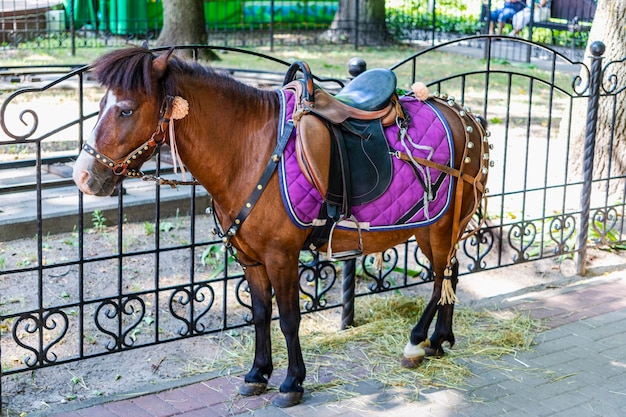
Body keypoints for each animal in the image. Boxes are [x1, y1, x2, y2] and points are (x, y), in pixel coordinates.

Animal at [73, 46, 490, 406]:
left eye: (126, 110)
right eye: (100, 105)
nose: (83, 176)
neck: (248, 152)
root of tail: (467, 117)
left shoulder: (281, 256)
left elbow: (289, 319)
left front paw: (292, 382)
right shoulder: (250, 259)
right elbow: (260, 314)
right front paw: (257, 373)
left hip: (438, 228)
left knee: (439, 281)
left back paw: (417, 343)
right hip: (442, 228)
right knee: (453, 273)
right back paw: (440, 340)